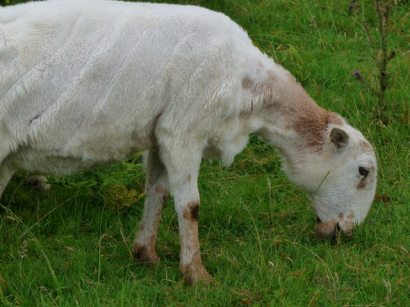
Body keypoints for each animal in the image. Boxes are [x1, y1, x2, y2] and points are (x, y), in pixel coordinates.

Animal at [0, 0, 378, 286]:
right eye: (363, 171)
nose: (344, 233)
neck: (248, 88)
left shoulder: (159, 133)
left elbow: (157, 190)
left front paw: (146, 255)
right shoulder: (183, 130)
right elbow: (189, 206)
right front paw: (196, 275)